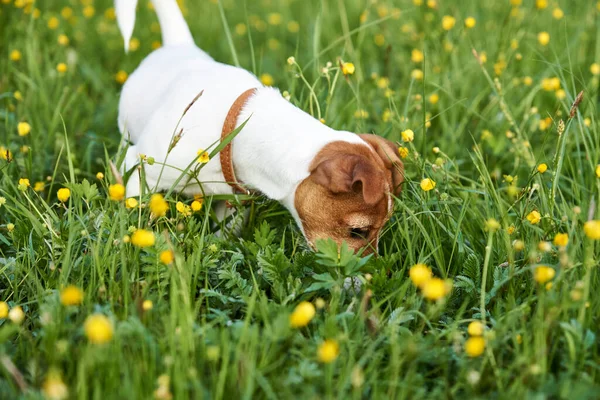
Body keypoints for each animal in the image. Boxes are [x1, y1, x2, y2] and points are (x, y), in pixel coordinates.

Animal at [113, 0, 404, 253]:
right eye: (357, 231)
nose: (366, 273)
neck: (237, 131)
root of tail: (179, 44)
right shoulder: (139, 166)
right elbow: (135, 207)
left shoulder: (235, 203)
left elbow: (225, 234)